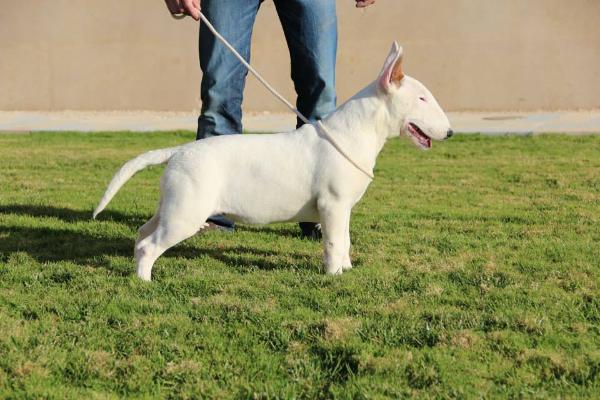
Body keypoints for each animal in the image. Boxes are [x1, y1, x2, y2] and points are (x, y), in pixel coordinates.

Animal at [92, 43, 450, 282]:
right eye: (422, 98)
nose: (449, 132)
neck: (354, 132)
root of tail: (178, 151)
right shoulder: (332, 205)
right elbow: (334, 241)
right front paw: (334, 275)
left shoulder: (343, 208)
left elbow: (346, 238)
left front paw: (347, 267)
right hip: (186, 214)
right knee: (150, 245)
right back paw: (144, 280)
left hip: (173, 206)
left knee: (142, 232)